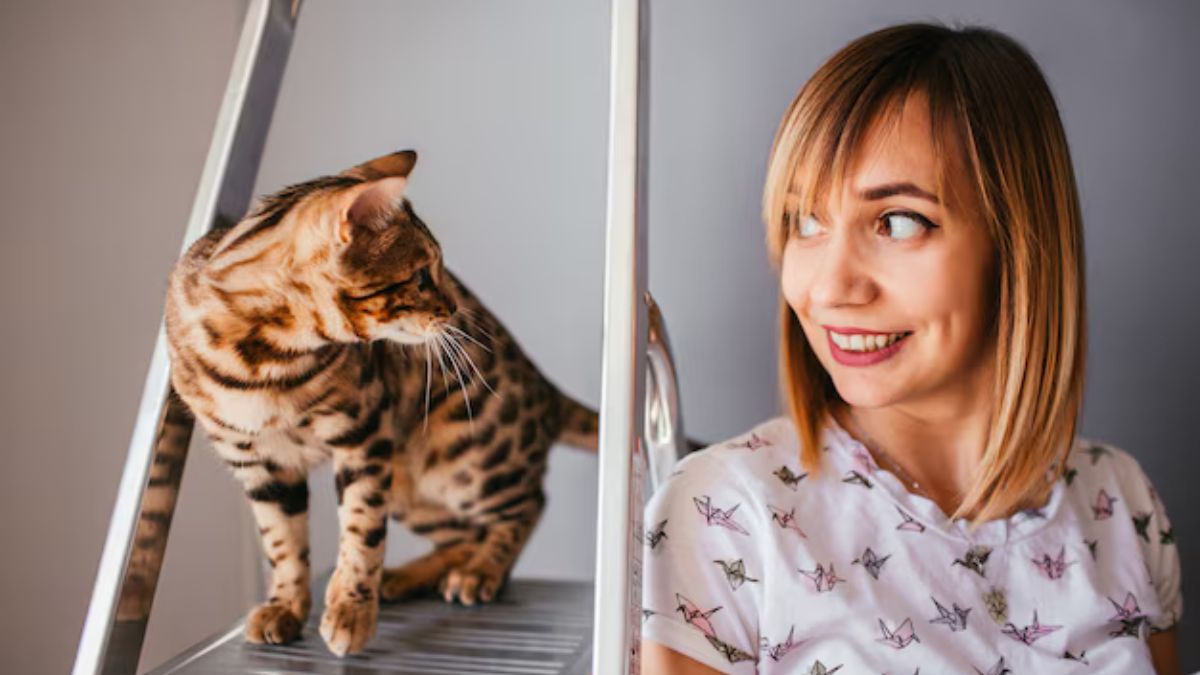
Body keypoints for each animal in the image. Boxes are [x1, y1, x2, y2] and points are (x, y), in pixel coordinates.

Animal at [162, 148, 600, 653]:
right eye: (421, 275)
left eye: (439, 271)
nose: (454, 307)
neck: (263, 360)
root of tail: (543, 387)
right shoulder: (259, 464)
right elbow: (282, 543)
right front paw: (286, 606)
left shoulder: (365, 434)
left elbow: (362, 530)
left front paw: (350, 610)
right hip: (412, 482)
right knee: (463, 532)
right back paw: (408, 577)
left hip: (466, 455)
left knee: (527, 504)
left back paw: (479, 571)